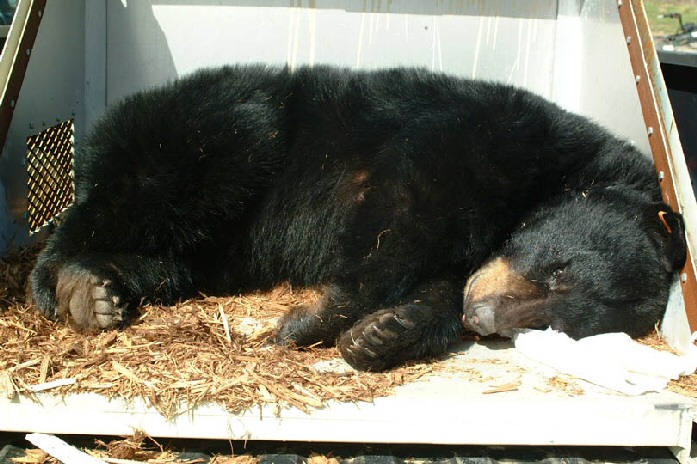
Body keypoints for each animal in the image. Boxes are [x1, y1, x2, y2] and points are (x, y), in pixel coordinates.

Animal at [28, 64, 687, 372]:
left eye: (554, 323)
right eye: (558, 268)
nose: (484, 318)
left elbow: (439, 285)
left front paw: (384, 333)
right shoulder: (479, 137)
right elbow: (403, 218)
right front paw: (309, 321)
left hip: (210, 244)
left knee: (171, 263)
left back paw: (98, 288)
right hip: (214, 132)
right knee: (161, 178)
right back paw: (62, 279)